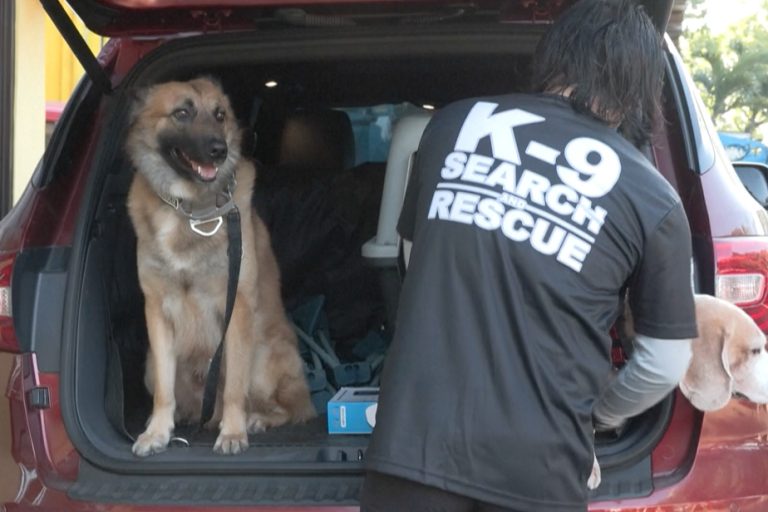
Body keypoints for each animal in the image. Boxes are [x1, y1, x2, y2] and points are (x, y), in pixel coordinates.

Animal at [125, 77, 316, 456]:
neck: (187, 210)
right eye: (182, 113)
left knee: (288, 407)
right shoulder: (157, 312)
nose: (220, 150)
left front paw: (233, 432)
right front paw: (157, 433)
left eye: (219, 115)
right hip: (150, 363)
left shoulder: (237, 308)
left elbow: (233, 389)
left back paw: (255, 420)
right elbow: (164, 393)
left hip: (262, 353)